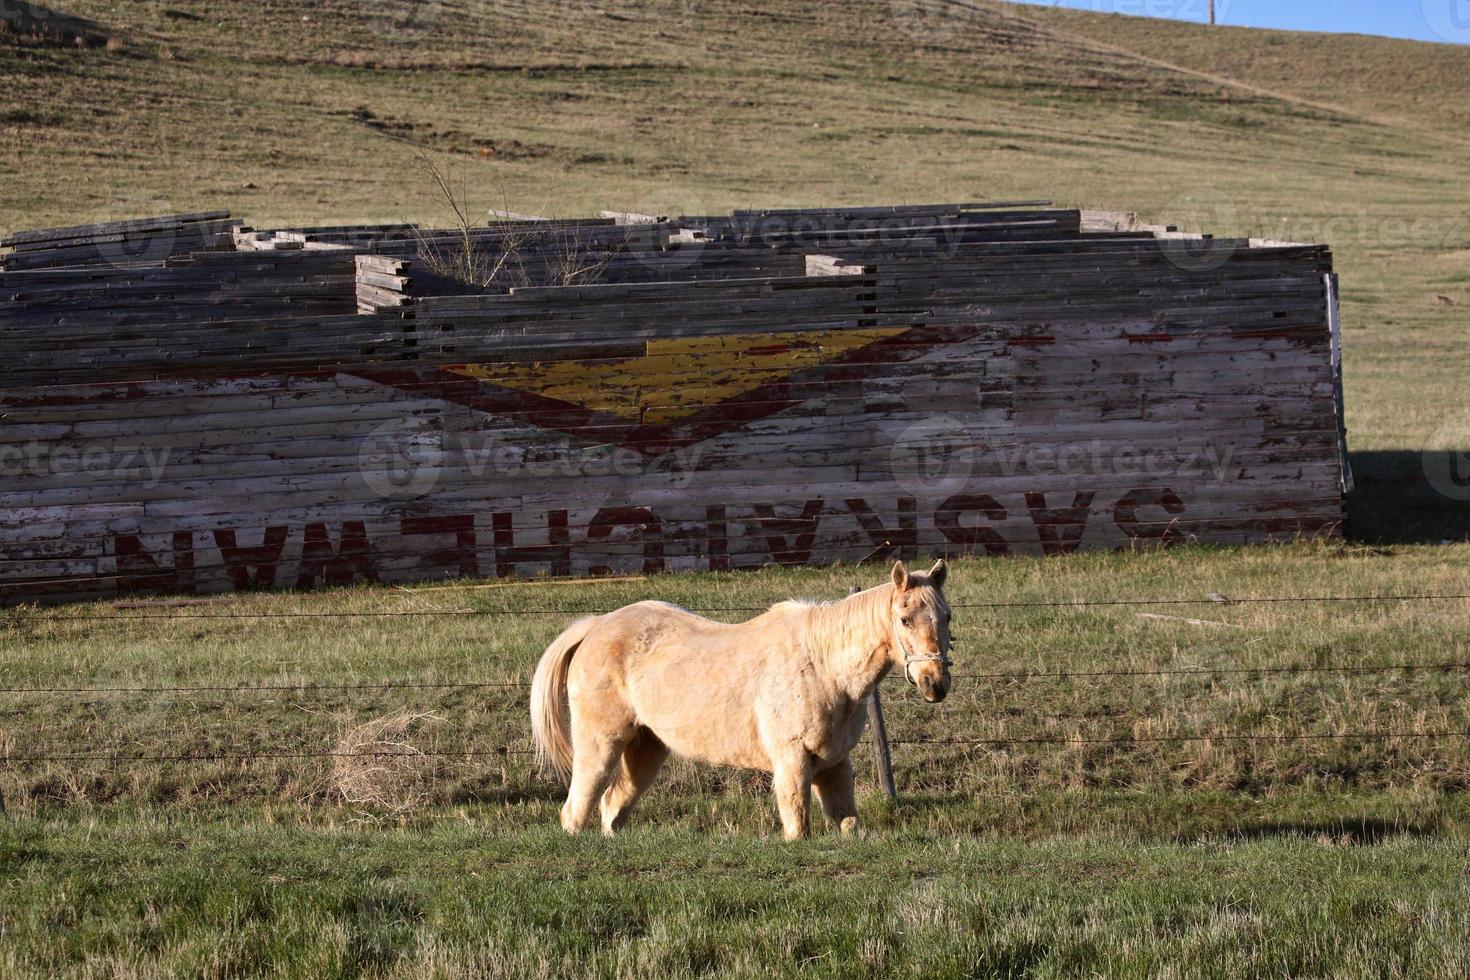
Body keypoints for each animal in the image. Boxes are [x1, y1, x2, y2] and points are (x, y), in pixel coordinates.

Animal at [529, 564, 952, 840]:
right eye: (904, 620)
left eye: (946, 616)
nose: (935, 683)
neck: (823, 665)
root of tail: (596, 626)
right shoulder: (791, 761)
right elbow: (798, 825)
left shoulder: (835, 763)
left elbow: (848, 822)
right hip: (600, 746)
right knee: (577, 808)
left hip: (646, 749)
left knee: (612, 806)